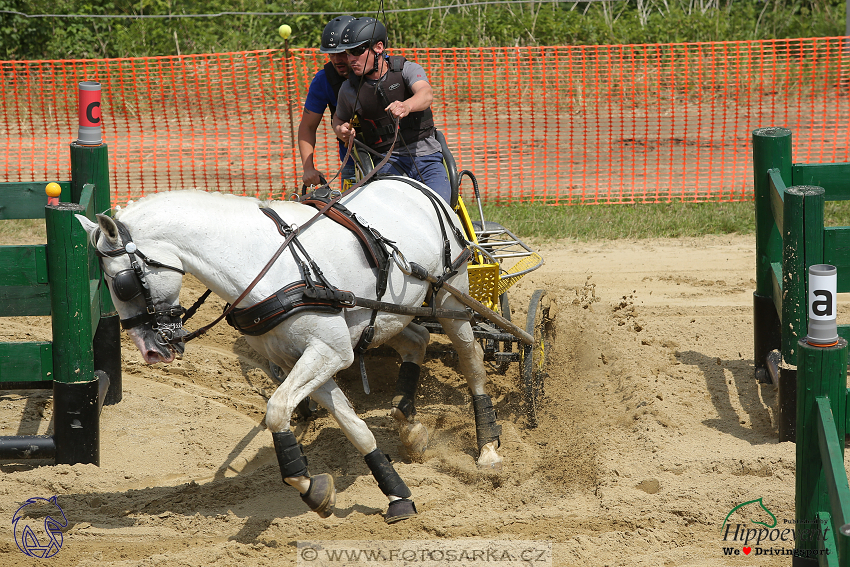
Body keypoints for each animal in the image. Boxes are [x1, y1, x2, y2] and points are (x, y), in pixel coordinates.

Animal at [76, 182, 504, 524]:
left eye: (122, 283)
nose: (149, 351)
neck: (262, 265)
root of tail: (415, 184)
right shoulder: (306, 358)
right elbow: (354, 426)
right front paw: (393, 492)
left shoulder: (328, 352)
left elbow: (277, 410)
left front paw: (307, 484)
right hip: (387, 316)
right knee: (416, 339)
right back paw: (409, 424)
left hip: (451, 298)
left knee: (471, 361)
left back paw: (487, 447)